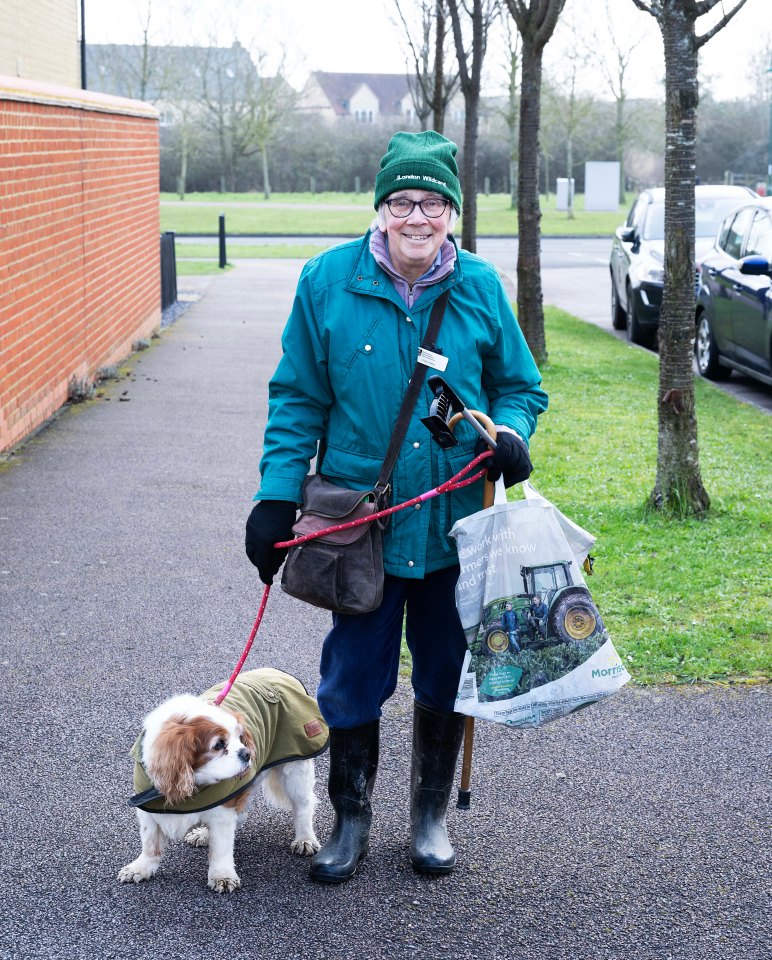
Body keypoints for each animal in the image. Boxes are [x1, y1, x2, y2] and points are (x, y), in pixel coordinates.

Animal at [120, 688, 322, 892]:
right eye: (218, 745)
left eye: (240, 738)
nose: (247, 753)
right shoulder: (147, 810)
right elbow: (150, 843)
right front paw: (141, 867)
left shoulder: (222, 810)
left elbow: (220, 848)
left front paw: (222, 876)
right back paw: (203, 834)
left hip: (295, 772)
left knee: (303, 807)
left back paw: (305, 839)